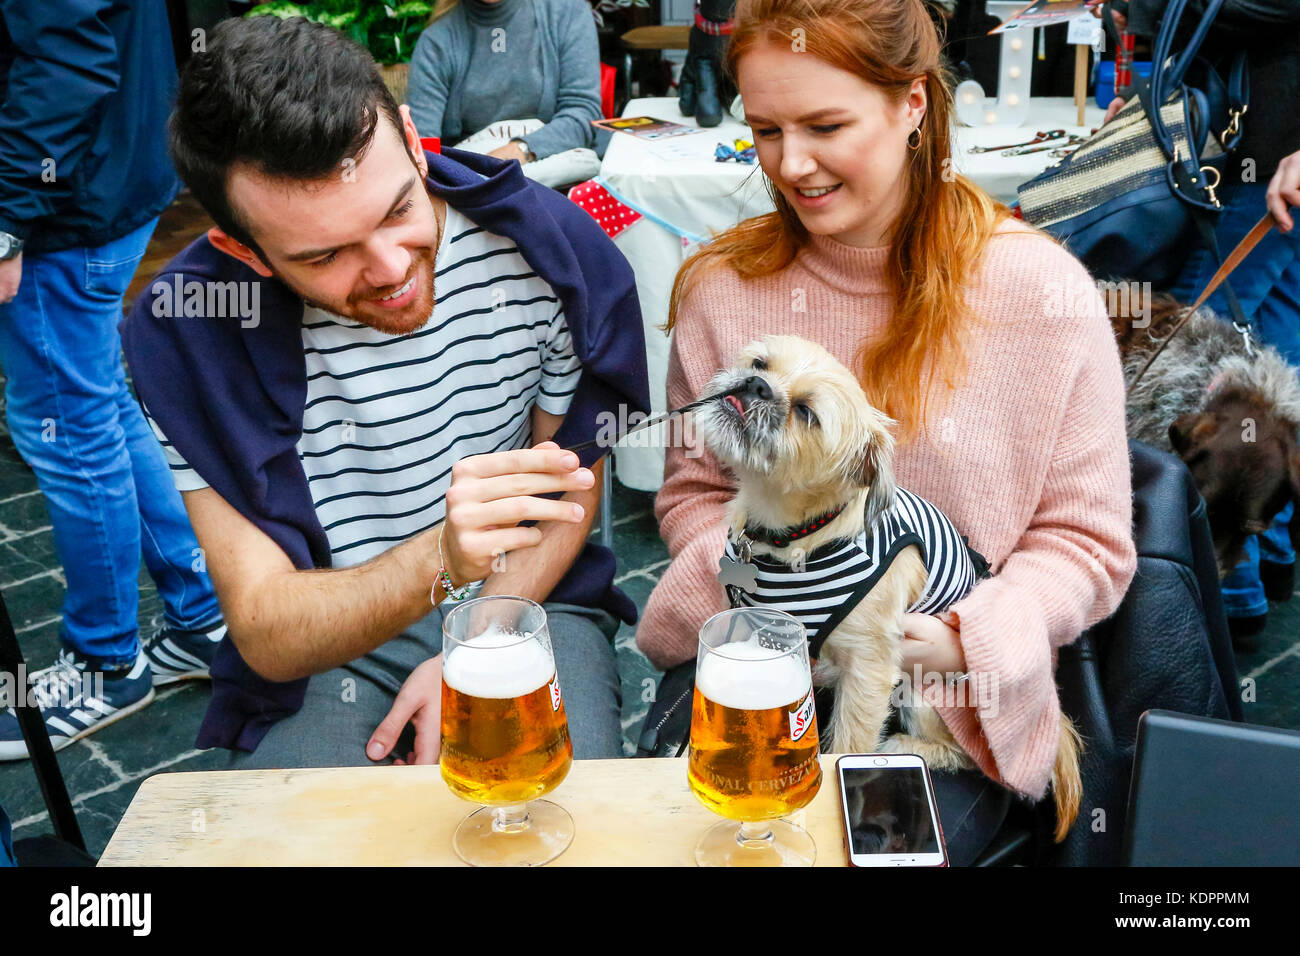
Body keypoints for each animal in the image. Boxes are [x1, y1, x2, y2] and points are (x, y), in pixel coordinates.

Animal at [696, 338, 1081, 842]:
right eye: (759, 364)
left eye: (806, 412)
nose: (756, 385)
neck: (792, 536)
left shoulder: (869, 671)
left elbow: (848, 743)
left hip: (922, 692)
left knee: (967, 756)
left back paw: (902, 747)